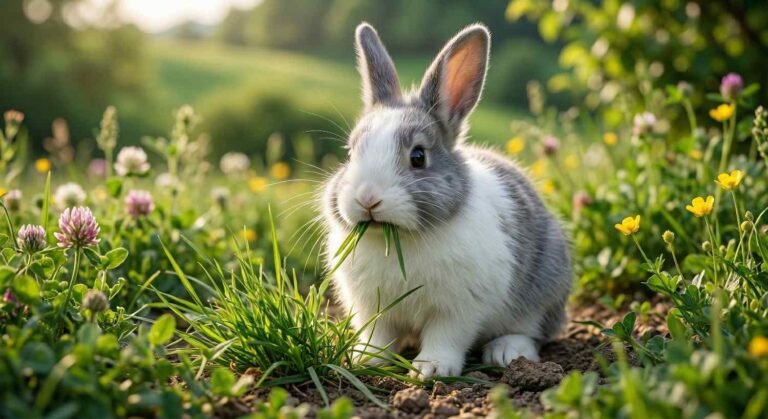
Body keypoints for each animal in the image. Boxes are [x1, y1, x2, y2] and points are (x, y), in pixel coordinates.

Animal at [321, 22, 572, 379]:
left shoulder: (457, 309)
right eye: (350, 153)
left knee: (531, 331)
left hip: (544, 285)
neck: (396, 238)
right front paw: (366, 360)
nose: (367, 198)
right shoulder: (372, 309)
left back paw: (506, 352)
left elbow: (446, 336)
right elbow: (379, 336)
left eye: (418, 156)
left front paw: (431, 369)